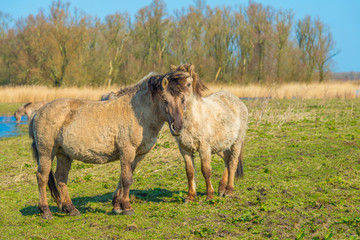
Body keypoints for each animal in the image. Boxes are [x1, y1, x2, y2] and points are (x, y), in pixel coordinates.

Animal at [29, 71, 193, 219]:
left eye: (183, 99)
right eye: (164, 99)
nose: (178, 127)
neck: (138, 113)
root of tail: (38, 112)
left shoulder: (137, 155)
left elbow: (123, 178)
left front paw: (117, 206)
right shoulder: (127, 151)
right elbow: (127, 179)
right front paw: (127, 207)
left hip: (64, 154)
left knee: (61, 178)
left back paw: (71, 209)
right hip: (46, 153)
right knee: (42, 177)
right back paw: (45, 211)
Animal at [167, 63, 248, 202]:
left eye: (188, 84)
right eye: (170, 86)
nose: (175, 127)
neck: (193, 118)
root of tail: (237, 101)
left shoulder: (204, 147)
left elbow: (206, 170)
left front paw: (209, 195)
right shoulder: (184, 149)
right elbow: (190, 171)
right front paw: (190, 196)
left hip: (236, 142)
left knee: (233, 163)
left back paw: (229, 190)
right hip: (220, 145)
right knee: (227, 159)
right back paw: (221, 188)